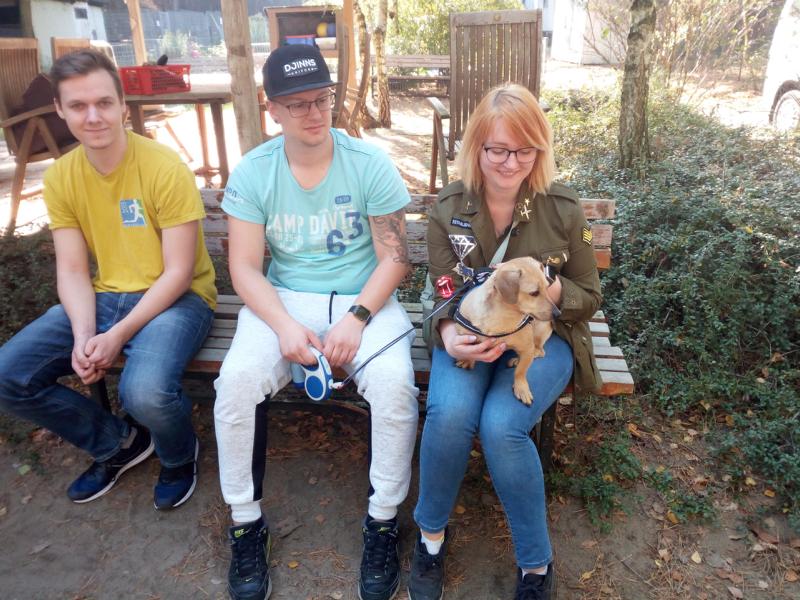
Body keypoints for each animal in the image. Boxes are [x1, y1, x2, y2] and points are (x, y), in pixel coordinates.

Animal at [454, 256, 555, 405]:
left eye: (548, 288)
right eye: (534, 293)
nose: (558, 313)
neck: (503, 316)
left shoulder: (527, 348)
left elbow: (521, 372)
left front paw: (521, 388)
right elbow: (471, 350)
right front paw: (468, 360)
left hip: (539, 330)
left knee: (539, 351)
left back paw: (518, 360)